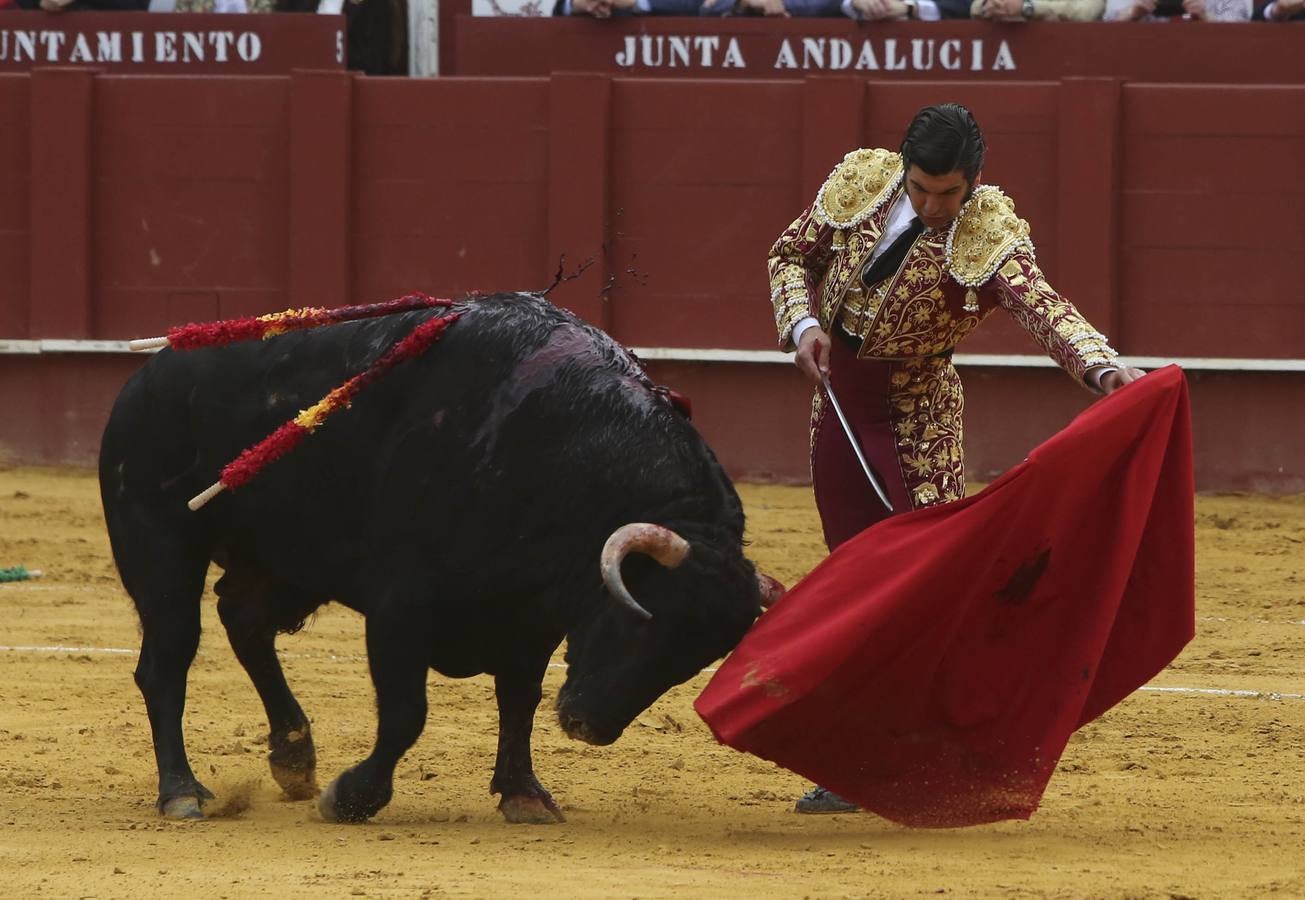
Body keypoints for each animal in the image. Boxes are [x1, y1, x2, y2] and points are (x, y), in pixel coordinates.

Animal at [99, 294, 772, 819]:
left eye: (692, 662)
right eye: (639, 625)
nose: (589, 727)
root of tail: (145, 379)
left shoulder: (532, 617)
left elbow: (518, 700)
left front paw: (524, 795)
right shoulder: (401, 605)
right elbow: (406, 713)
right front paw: (353, 798)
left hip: (289, 564)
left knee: (244, 622)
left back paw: (293, 757)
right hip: (159, 548)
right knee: (167, 660)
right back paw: (182, 792)